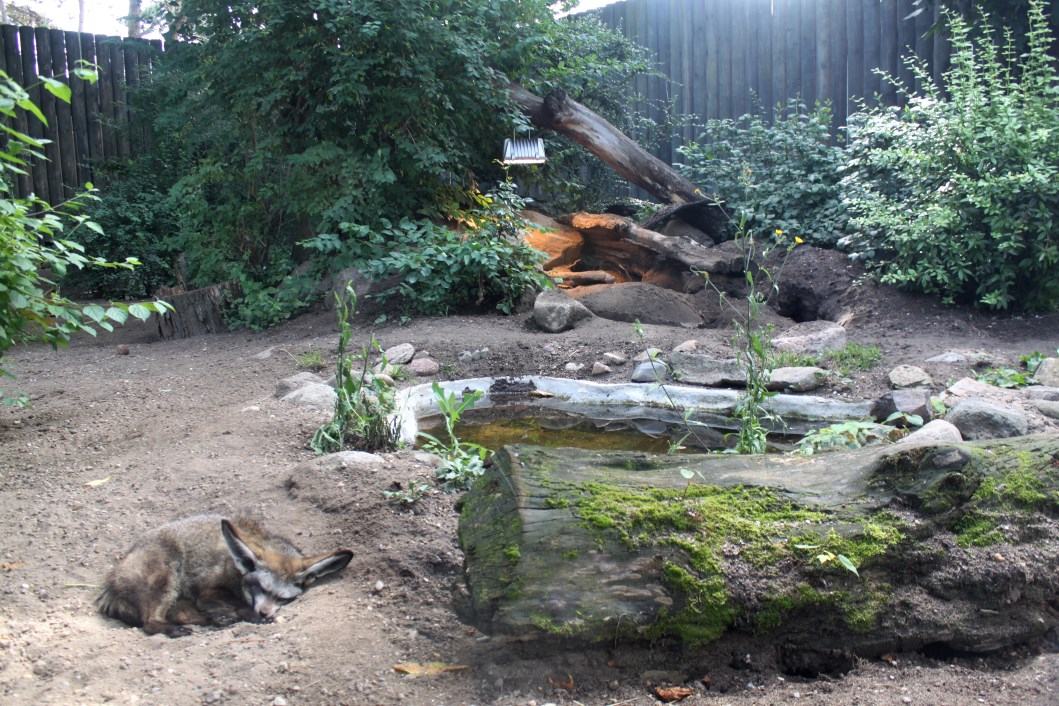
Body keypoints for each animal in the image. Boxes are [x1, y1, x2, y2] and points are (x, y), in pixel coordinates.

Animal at [97, 514, 353, 637]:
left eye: (284, 598)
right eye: (261, 587)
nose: (265, 612)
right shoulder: (206, 590)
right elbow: (234, 604)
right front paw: (246, 614)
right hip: (167, 577)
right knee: (150, 623)